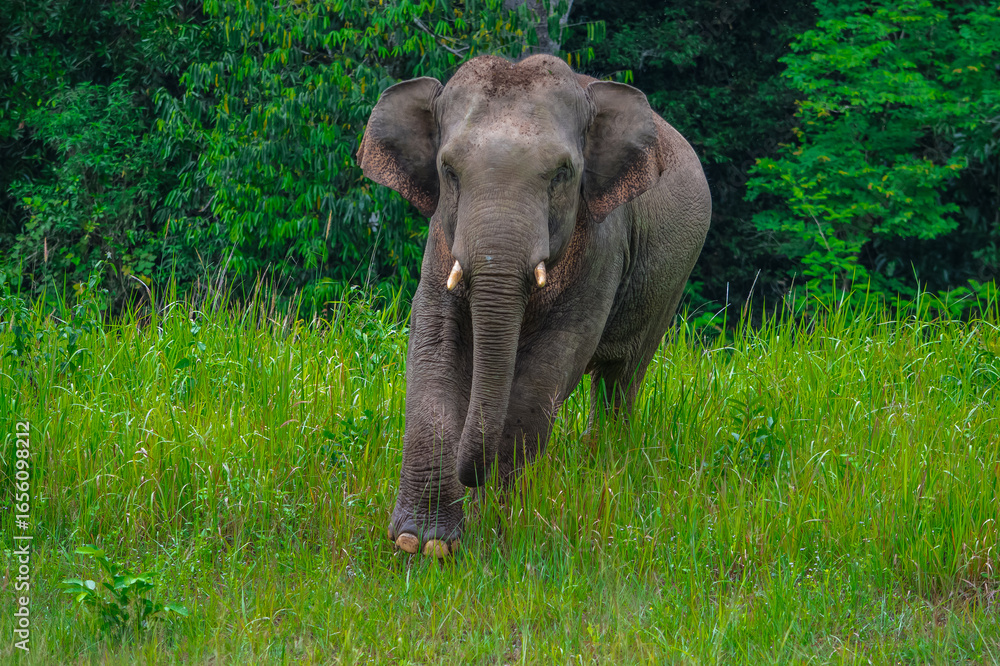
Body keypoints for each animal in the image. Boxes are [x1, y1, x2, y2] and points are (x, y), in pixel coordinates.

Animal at [357, 54, 710, 558]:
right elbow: (434, 349)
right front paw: (422, 543)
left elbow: (547, 367)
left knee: (621, 378)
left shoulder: (604, 242)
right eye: (448, 170)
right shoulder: (440, 237)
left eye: (563, 172)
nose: (472, 479)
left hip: (671, 278)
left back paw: (603, 469)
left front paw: (493, 529)